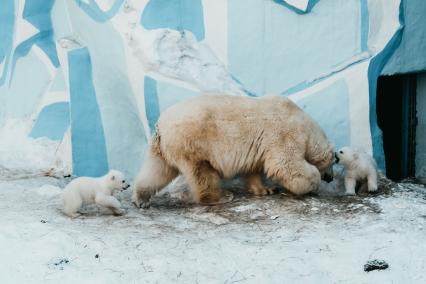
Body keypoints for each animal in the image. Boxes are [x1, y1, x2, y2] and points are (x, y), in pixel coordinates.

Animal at [133, 94, 336, 207]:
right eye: (334, 162)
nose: (331, 177)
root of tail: (161, 125)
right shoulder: (284, 134)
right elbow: (286, 165)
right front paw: (313, 183)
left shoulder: (260, 145)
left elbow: (253, 168)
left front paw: (266, 189)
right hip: (192, 142)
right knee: (202, 173)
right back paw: (220, 196)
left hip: (164, 146)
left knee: (158, 170)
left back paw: (140, 198)